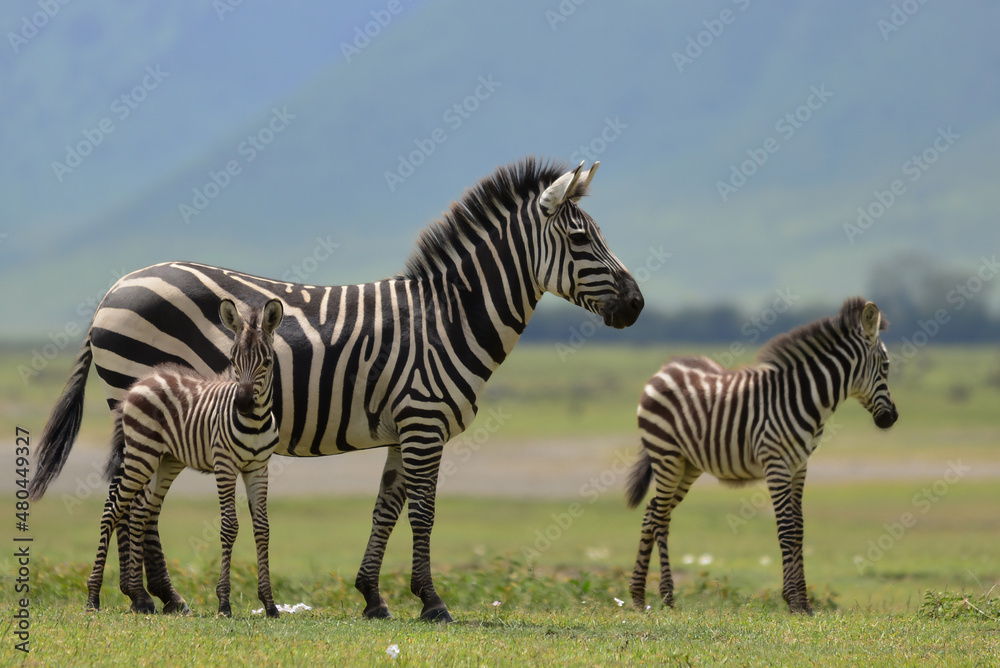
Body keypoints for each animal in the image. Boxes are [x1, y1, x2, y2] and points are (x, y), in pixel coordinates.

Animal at [86, 298, 284, 618]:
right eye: (233, 360)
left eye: (266, 362)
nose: (242, 403)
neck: (254, 422)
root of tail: (141, 382)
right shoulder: (225, 465)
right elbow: (229, 526)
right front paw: (224, 604)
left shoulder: (258, 468)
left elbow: (262, 528)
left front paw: (269, 604)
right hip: (140, 455)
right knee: (113, 511)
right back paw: (93, 597)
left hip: (166, 461)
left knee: (139, 512)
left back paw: (141, 599)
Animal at [626, 297, 898, 614]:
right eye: (886, 366)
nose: (892, 418)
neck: (804, 399)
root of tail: (665, 369)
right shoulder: (776, 463)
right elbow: (787, 529)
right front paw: (794, 601)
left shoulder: (800, 466)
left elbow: (799, 529)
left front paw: (803, 602)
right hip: (666, 455)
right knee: (659, 517)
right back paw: (665, 595)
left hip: (687, 464)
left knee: (653, 512)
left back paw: (639, 596)